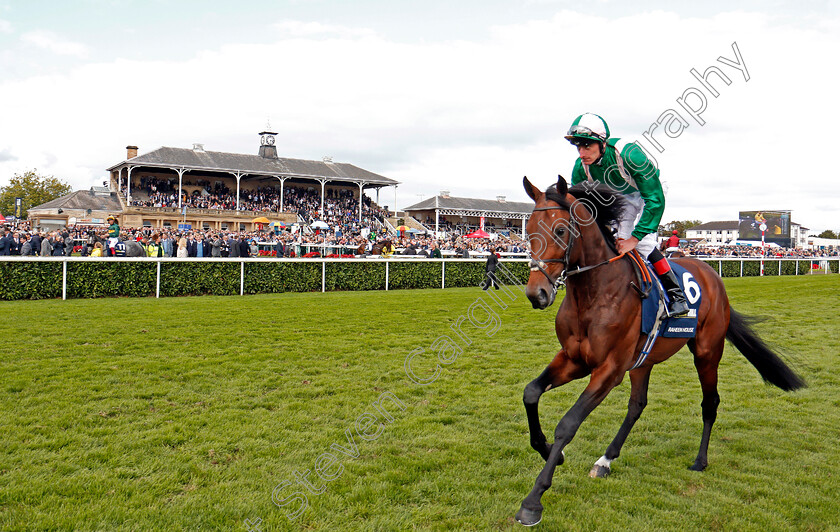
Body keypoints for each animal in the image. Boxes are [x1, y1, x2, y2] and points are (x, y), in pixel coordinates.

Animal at [516, 177, 804, 524]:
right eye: (529, 229)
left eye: (560, 230)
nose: (537, 293)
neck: (595, 293)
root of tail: (712, 274)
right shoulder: (574, 359)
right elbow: (531, 392)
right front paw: (549, 452)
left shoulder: (609, 369)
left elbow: (568, 424)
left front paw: (533, 500)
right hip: (643, 361)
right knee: (637, 405)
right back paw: (606, 460)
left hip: (707, 351)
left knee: (710, 402)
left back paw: (700, 460)